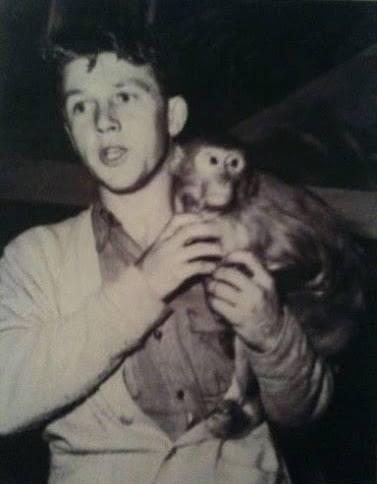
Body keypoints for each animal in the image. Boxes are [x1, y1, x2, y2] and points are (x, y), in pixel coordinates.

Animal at [169, 135, 362, 438]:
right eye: (212, 160)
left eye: (234, 163)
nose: (225, 179)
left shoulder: (256, 214)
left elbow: (312, 261)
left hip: (323, 317)